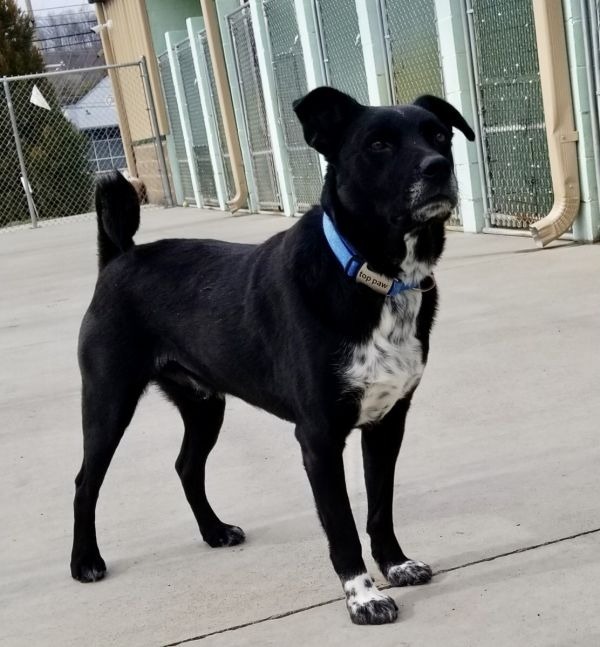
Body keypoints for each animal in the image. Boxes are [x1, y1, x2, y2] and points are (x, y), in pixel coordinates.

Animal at [70, 88, 474, 624]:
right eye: (378, 144)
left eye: (439, 134)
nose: (438, 167)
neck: (373, 275)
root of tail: (119, 256)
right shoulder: (319, 437)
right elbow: (342, 525)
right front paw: (363, 596)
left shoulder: (388, 422)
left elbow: (380, 506)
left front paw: (396, 564)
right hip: (108, 400)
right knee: (85, 482)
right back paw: (85, 562)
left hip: (204, 405)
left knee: (186, 466)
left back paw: (214, 531)